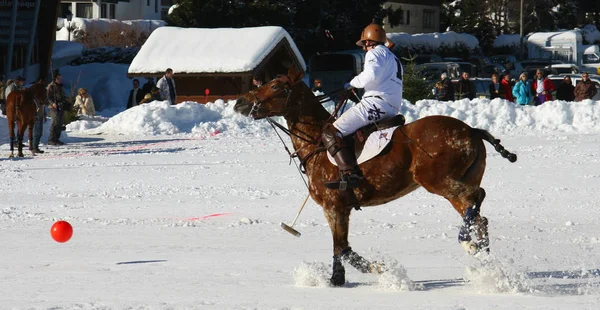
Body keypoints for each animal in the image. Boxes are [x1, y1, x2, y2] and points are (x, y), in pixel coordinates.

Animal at [233, 66, 516, 286]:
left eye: (275, 85)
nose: (239, 102)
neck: (316, 142)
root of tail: (472, 130)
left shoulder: (333, 206)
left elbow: (342, 248)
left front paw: (371, 271)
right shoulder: (341, 208)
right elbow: (343, 248)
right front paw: (342, 279)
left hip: (435, 179)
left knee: (477, 197)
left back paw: (467, 243)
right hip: (461, 180)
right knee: (479, 216)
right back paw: (486, 261)